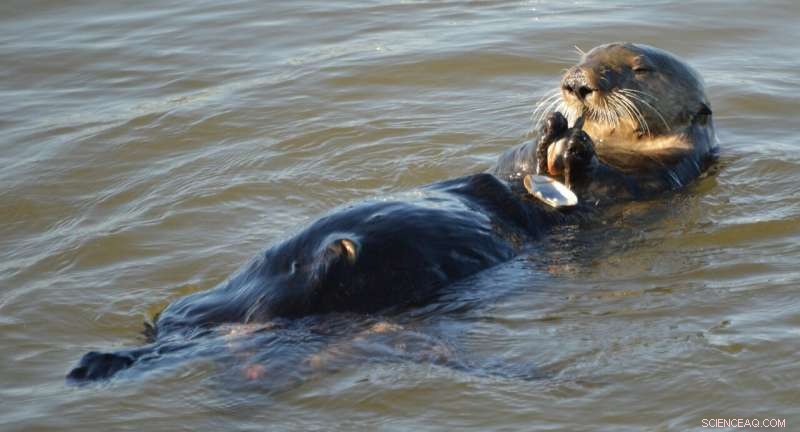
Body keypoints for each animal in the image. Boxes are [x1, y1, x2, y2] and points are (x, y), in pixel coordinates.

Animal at [67, 43, 717, 382]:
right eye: (585, 56)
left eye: (637, 69)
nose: (576, 84)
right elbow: (514, 161)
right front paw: (551, 132)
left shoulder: (660, 178)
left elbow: (608, 184)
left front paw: (572, 151)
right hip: (210, 301)